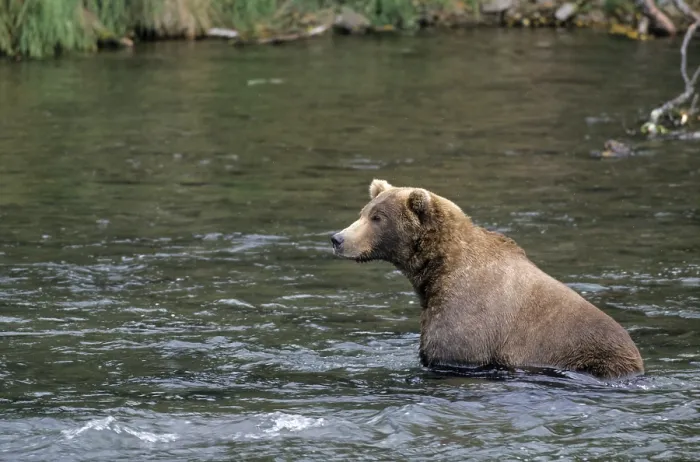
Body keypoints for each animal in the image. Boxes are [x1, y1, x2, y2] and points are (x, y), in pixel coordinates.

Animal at [330, 179, 644, 380]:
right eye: (363, 212)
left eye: (378, 218)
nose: (337, 238)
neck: (438, 268)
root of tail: (637, 361)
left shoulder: (467, 315)